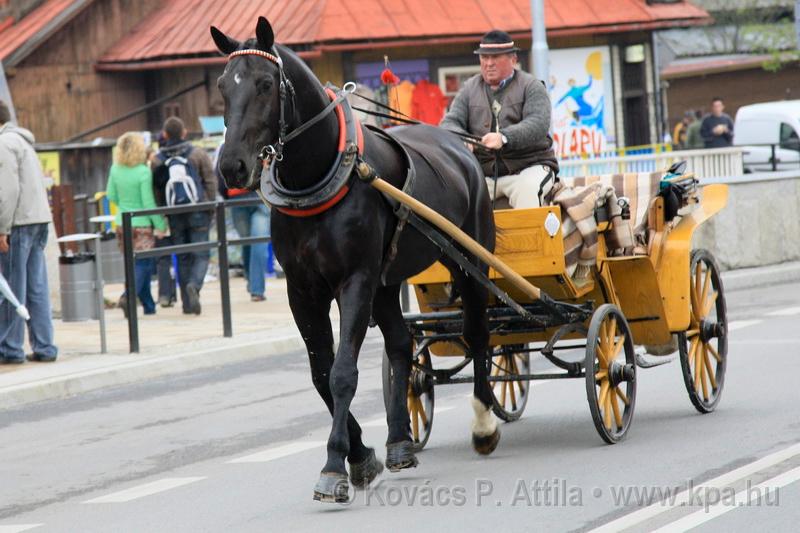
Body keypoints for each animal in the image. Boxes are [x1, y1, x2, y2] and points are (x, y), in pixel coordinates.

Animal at [212, 15, 500, 498]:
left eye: (266, 84)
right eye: (221, 85)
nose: (232, 166)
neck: (318, 177)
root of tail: (459, 147)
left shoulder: (355, 281)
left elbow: (342, 372)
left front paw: (335, 464)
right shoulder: (303, 291)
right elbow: (320, 373)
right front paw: (361, 455)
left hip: (469, 259)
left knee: (478, 331)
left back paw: (483, 423)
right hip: (387, 283)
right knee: (401, 344)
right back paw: (400, 440)